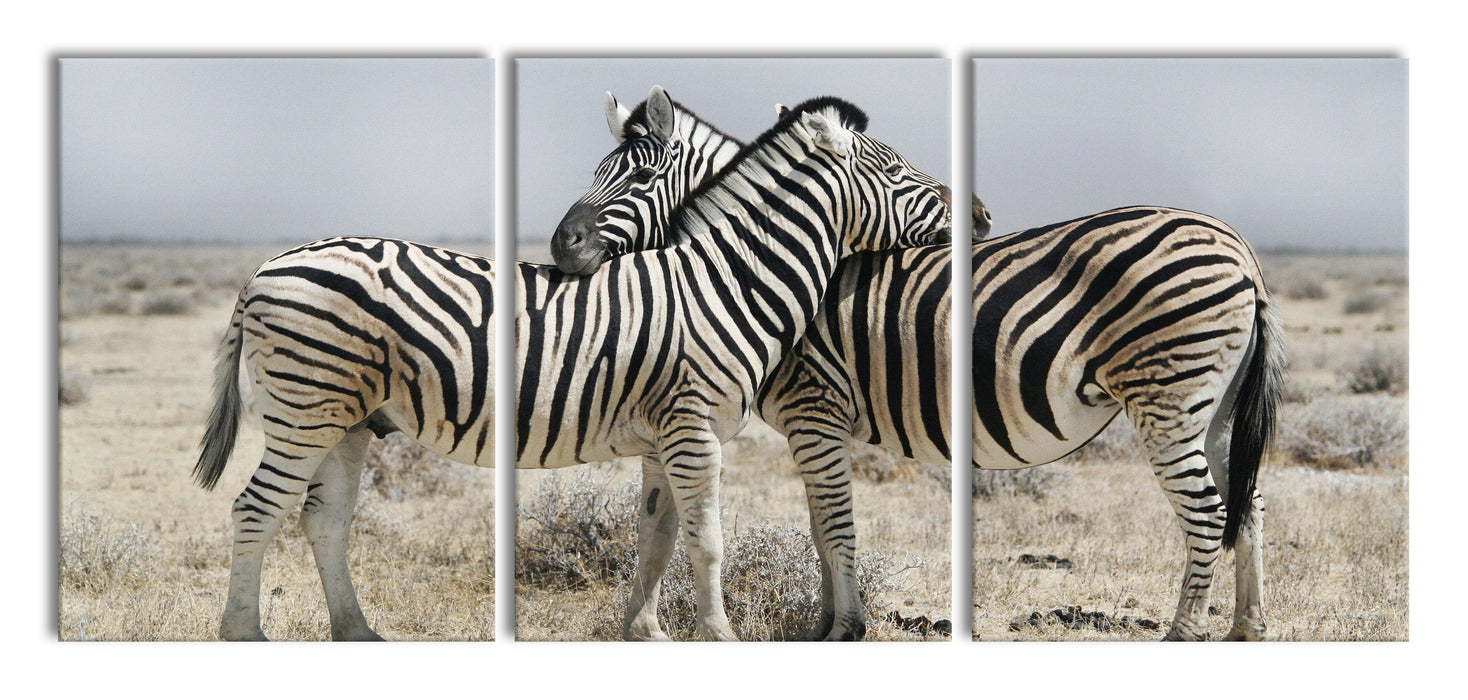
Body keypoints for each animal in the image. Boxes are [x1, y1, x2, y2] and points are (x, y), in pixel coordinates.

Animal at [192, 91, 951, 639]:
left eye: (640, 175)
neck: (725, 281)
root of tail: (265, 267)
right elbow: (708, 542)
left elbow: (657, 537)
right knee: (256, 508)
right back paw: (244, 636)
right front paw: (721, 638)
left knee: (323, 519)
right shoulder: (694, 430)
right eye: (896, 170)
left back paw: (358, 634)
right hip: (305, 407)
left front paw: (648, 635)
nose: (964, 210)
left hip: (345, 419)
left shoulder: (664, 438)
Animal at [551, 101, 1285, 639]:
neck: (753, 268)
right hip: (1214, 408)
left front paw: (844, 629)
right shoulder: (813, 426)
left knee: (1205, 514)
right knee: (1245, 504)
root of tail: (1240, 248)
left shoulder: (815, 410)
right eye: (595, 170)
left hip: (1167, 399)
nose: (562, 244)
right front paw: (824, 625)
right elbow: (819, 526)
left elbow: (834, 524)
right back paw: (1246, 629)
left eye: (639, 179)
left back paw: (1185, 634)